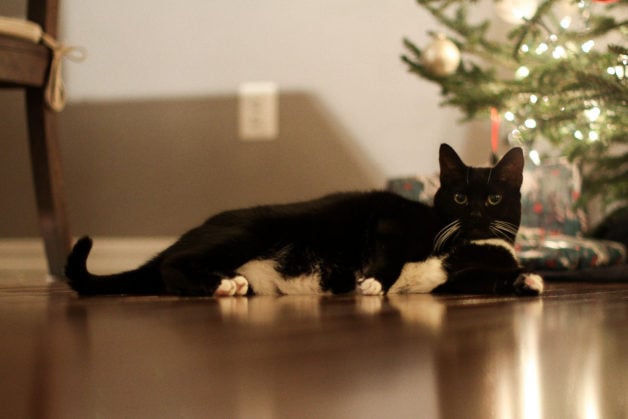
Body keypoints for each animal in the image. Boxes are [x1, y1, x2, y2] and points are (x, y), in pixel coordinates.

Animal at [66, 144, 544, 298]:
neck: (465, 244)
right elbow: (389, 255)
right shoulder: (390, 220)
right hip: (245, 232)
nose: (477, 215)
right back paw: (221, 285)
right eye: (460, 197)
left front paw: (528, 280)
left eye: (494, 199)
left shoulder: (459, 278)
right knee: (170, 268)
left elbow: (488, 278)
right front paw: (374, 282)